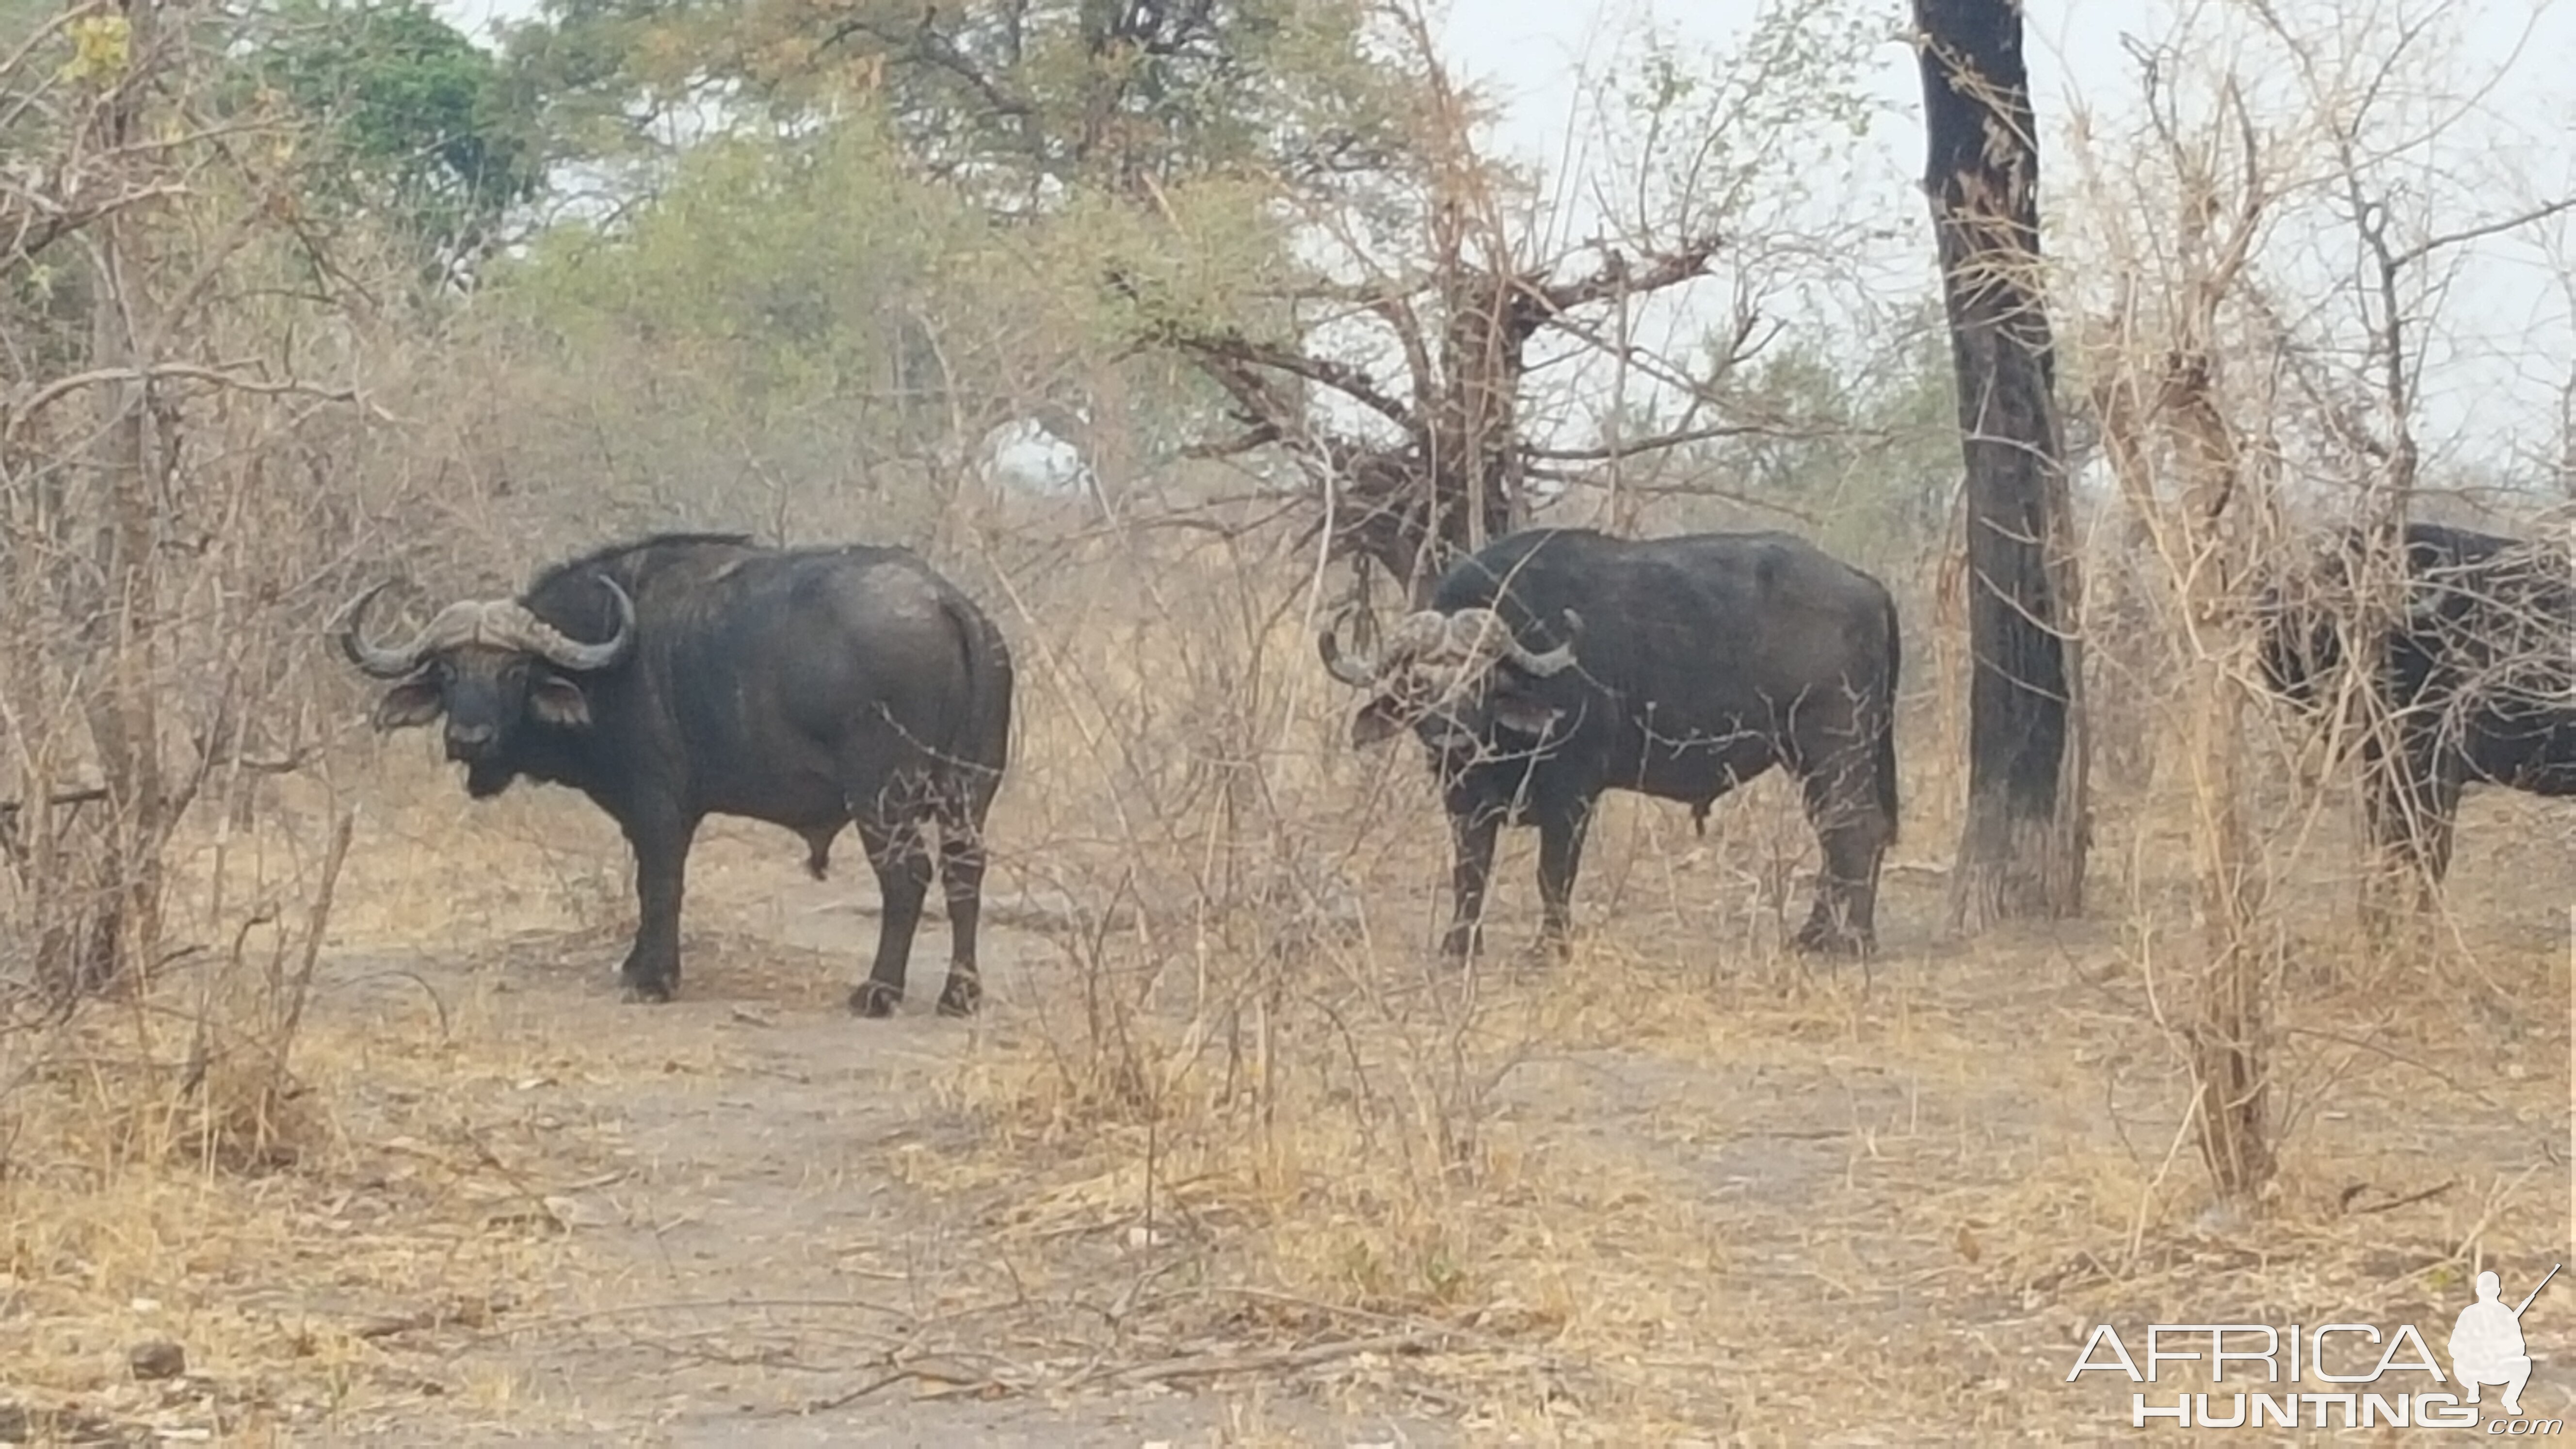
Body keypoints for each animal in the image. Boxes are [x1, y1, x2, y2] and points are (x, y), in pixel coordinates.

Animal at [340, 531, 1014, 1015]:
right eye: (448, 672)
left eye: (513, 672)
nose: (468, 738)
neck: (607, 658)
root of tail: (947, 603)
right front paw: (635, 965)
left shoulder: (660, 807)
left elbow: (660, 886)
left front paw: (654, 979)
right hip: (969, 792)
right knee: (965, 871)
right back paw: (960, 994)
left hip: (881, 796)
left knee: (908, 877)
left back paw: (878, 992)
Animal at [1329, 523, 1896, 954]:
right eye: (1418, 684)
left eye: (1482, 680)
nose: (1451, 742)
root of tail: (1866, 585)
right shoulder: (1463, 801)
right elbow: (1470, 872)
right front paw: (1458, 945)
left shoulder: (1572, 796)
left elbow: (1553, 874)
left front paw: (1549, 947)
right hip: (1805, 755)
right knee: (1834, 831)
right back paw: (1815, 935)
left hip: (1834, 744)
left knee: (1856, 829)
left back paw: (1852, 941)